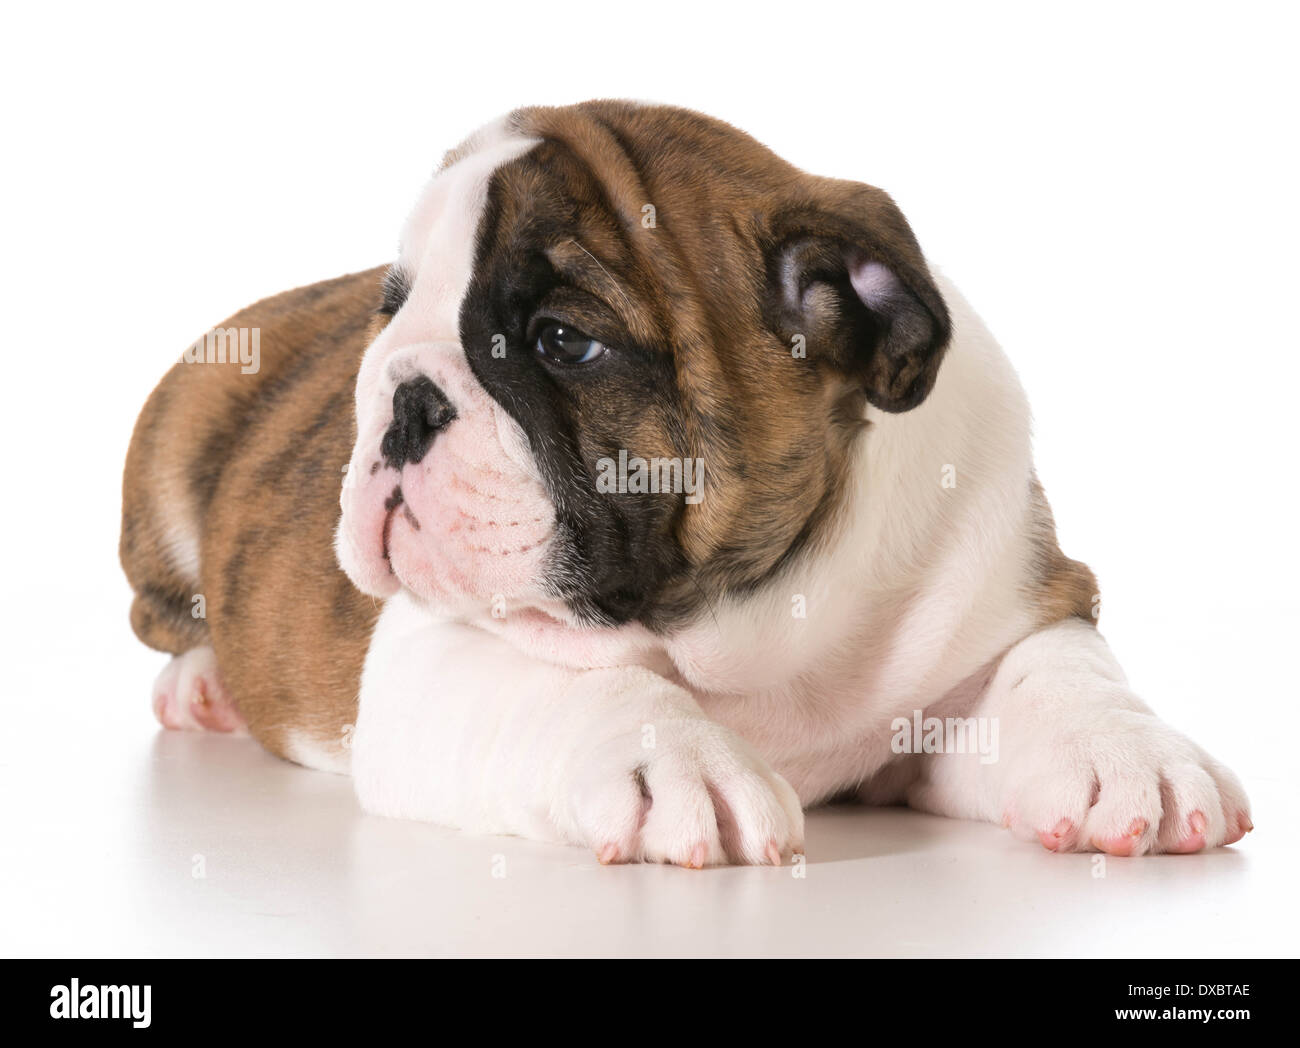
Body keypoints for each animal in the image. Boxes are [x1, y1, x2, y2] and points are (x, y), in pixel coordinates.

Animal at [122, 100, 1248, 868]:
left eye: (561, 340)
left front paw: (1129, 753)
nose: (402, 395)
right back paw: (204, 682)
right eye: (392, 310)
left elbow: (1059, 666)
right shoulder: (431, 659)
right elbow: (581, 682)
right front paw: (672, 761)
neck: (748, 617)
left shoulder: (1011, 589)